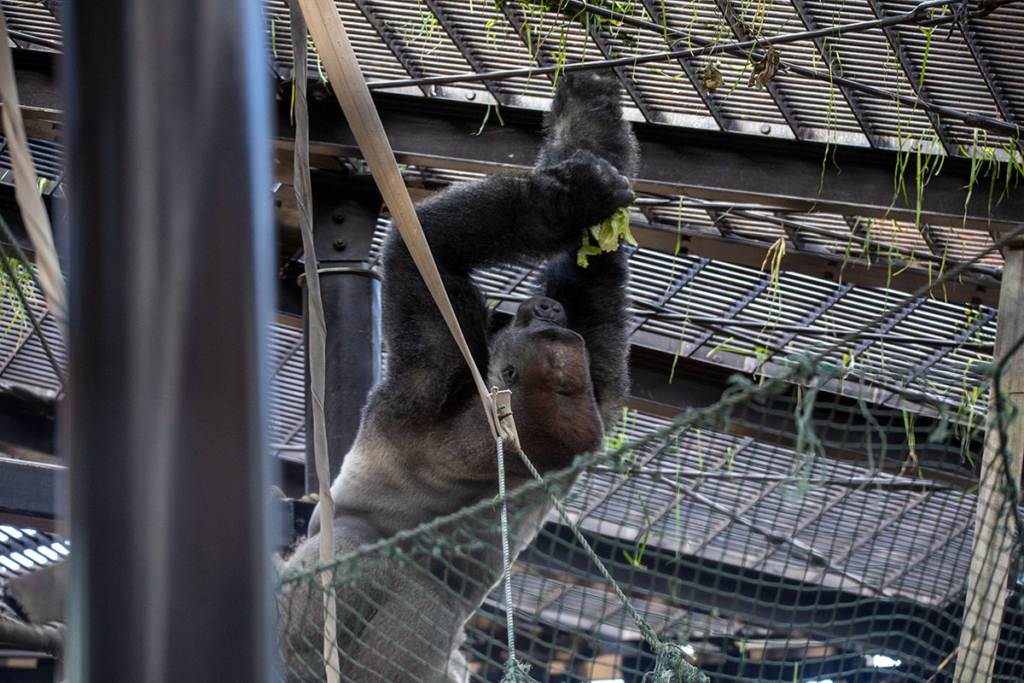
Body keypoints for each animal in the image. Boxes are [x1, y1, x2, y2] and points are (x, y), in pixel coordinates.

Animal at [280, 72, 638, 679]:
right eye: (548, 327)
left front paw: (563, 202)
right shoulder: (595, 399)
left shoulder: (426, 387)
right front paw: (588, 110)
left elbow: (426, 245)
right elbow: (592, 280)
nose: (547, 312)